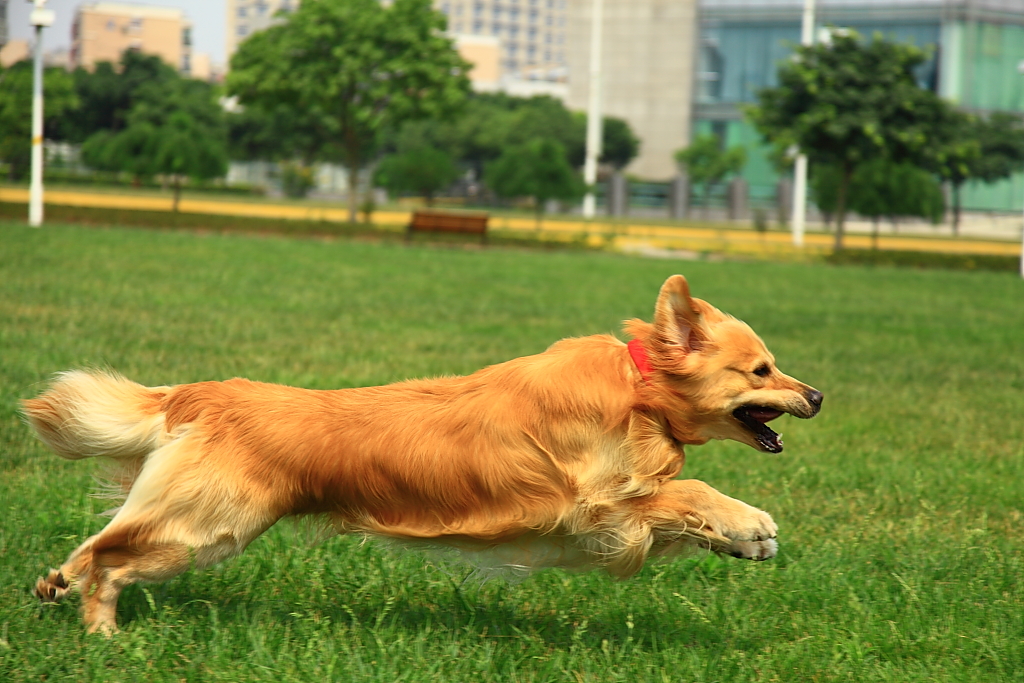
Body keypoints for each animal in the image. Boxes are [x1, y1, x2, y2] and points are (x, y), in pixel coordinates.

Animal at [24, 274, 823, 634]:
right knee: (108, 553)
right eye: (762, 370)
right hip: (207, 524)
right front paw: (752, 525)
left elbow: (681, 506)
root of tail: (205, 393)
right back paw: (91, 618)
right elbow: (685, 493)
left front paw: (738, 539)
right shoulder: (593, 507)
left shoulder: (595, 525)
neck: (638, 389)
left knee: (105, 548)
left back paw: (71, 600)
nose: (816, 394)